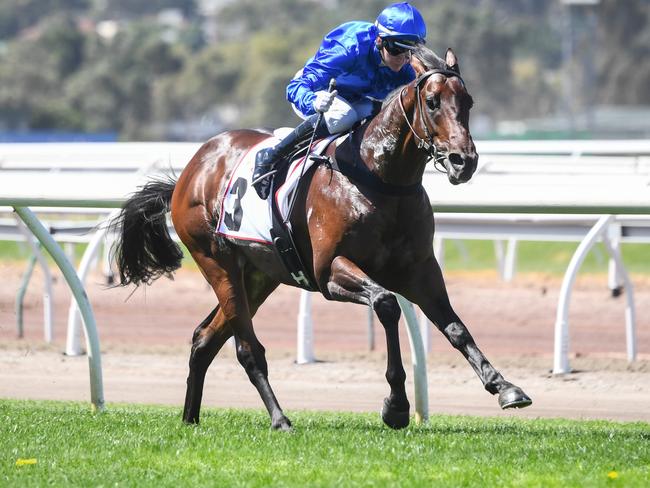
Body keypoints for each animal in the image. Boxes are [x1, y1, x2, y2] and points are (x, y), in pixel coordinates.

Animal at [114, 46, 528, 430]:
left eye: (468, 101)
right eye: (432, 101)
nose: (464, 161)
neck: (379, 177)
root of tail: (191, 171)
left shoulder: (420, 269)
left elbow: (455, 327)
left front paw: (504, 386)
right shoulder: (329, 270)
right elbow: (386, 304)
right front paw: (395, 405)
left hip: (259, 276)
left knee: (204, 339)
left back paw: (190, 418)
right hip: (217, 262)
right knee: (246, 348)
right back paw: (279, 418)